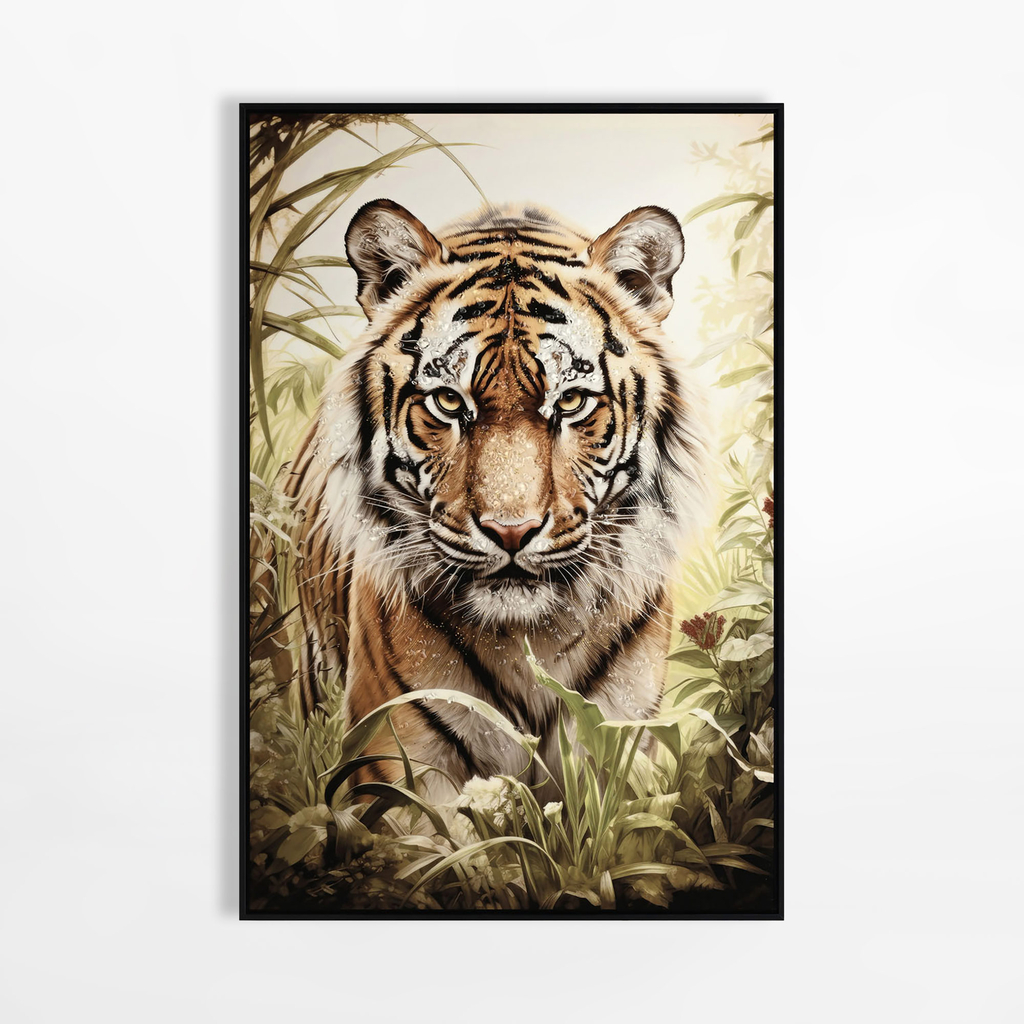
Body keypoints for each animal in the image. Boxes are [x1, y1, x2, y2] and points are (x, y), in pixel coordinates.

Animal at [283, 199, 709, 800]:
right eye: (446, 401)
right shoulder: (400, 760)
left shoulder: (619, 746)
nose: (511, 532)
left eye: (571, 401)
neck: (529, 641)